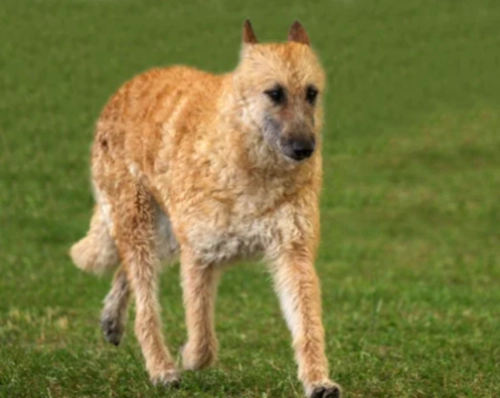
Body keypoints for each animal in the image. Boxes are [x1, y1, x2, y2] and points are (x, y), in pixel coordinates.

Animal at [70, 20, 342, 398]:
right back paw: (161, 369)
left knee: (127, 274)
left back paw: (112, 320)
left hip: (163, 236)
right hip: (140, 224)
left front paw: (318, 381)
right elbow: (202, 339)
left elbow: (308, 327)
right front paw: (186, 357)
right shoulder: (200, 255)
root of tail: (126, 87)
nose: (306, 149)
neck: (250, 164)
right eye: (274, 94)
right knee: (145, 307)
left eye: (312, 93)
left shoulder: (293, 253)